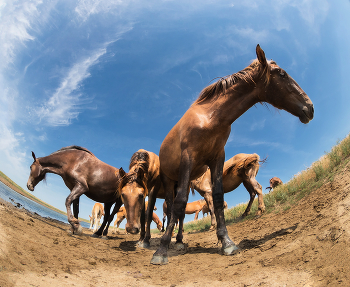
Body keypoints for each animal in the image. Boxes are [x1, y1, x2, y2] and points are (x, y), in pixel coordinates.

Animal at [150, 45, 314, 266]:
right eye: (282, 73)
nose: (310, 107)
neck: (209, 118)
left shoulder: (217, 159)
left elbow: (218, 198)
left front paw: (226, 242)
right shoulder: (188, 159)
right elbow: (180, 203)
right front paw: (161, 250)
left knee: (180, 213)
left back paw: (180, 241)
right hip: (170, 180)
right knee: (172, 206)